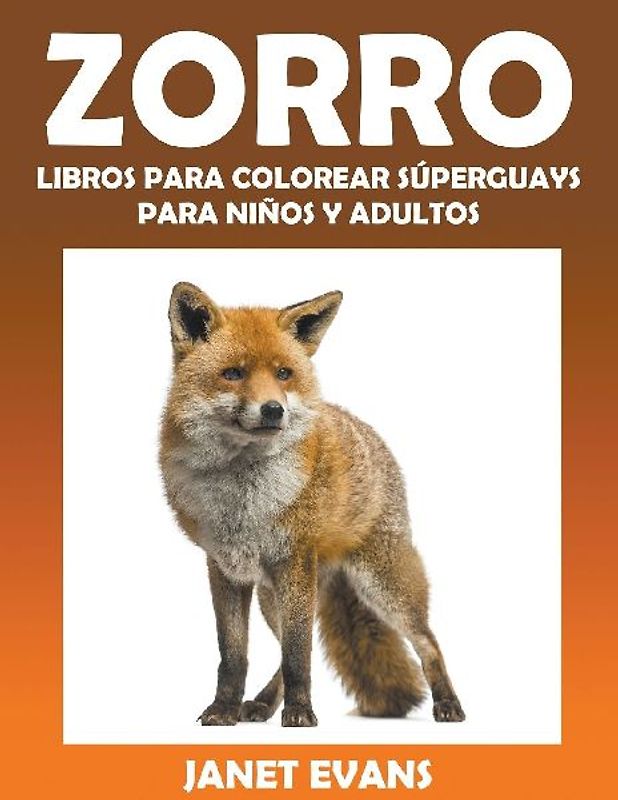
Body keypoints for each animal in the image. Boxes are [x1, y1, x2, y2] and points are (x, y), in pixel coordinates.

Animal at [159, 281, 465, 727]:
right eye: (233, 373)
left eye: (284, 374)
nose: (274, 410)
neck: (243, 500)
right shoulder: (226, 569)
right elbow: (234, 656)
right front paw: (224, 709)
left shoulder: (295, 561)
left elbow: (297, 654)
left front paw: (300, 712)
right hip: (275, 597)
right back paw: (261, 704)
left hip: (380, 586)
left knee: (427, 641)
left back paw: (448, 703)